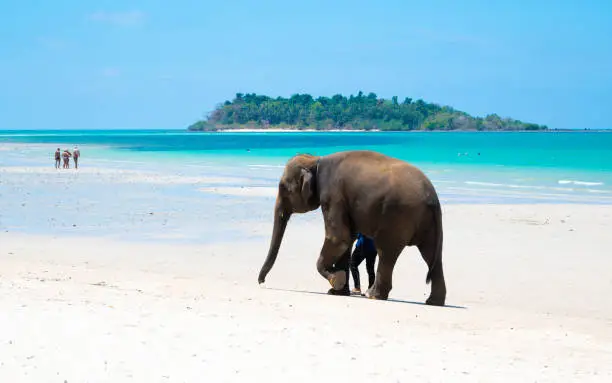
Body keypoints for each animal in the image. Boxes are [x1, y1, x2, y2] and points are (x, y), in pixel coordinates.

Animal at [256, 149, 448, 306]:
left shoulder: (333, 195)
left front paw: (336, 281)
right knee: (431, 255)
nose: (261, 282)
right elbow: (347, 240)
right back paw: (433, 302)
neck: (316, 161)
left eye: (282, 187)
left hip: (397, 217)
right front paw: (337, 291)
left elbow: (338, 238)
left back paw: (373, 295)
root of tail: (432, 197)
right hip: (427, 223)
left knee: (387, 252)